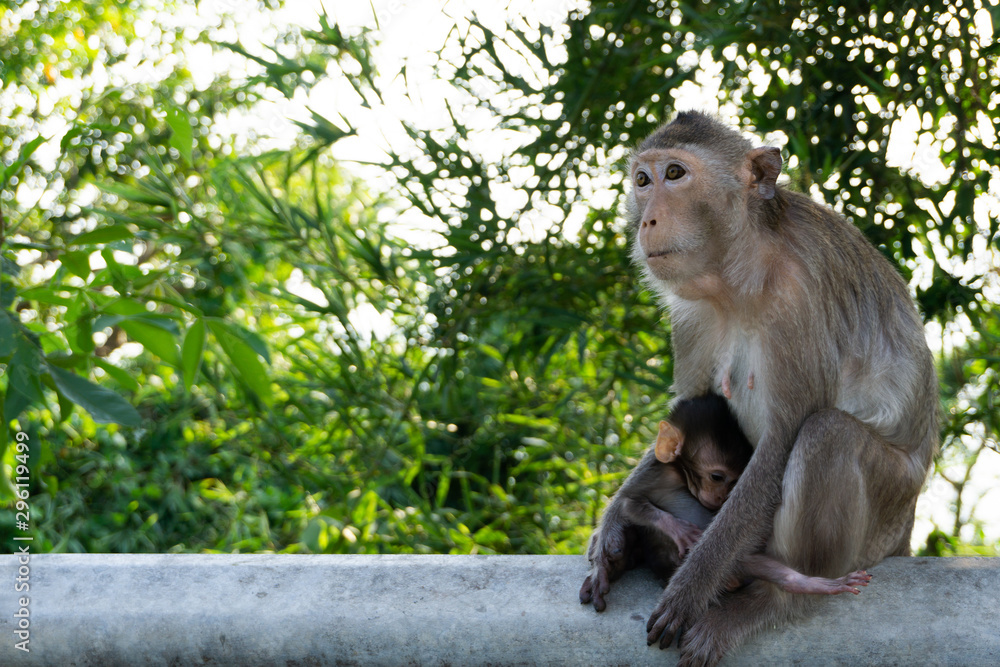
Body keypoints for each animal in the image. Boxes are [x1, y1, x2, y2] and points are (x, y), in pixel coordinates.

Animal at [579, 394, 871, 612]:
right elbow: (628, 503)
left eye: (734, 481)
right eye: (717, 477)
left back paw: (809, 584)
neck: (680, 476)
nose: (720, 498)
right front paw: (678, 529)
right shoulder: (657, 474)